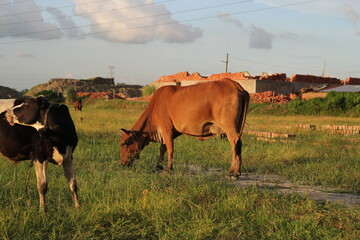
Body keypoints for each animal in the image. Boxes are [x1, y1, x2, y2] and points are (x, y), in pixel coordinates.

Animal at [119, 78, 249, 178]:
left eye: (124, 143)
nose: (122, 164)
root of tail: (234, 84)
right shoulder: (169, 133)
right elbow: (163, 149)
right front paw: (158, 166)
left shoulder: (166, 129)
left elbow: (170, 149)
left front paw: (168, 168)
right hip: (237, 128)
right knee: (238, 145)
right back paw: (236, 171)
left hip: (230, 128)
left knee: (235, 144)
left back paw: (233, 173)